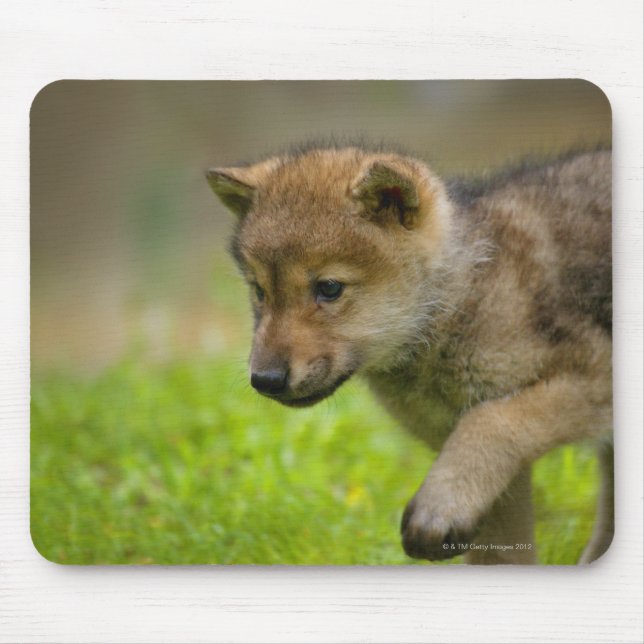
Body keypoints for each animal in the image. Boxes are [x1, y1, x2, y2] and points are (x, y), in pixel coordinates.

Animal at [206, 143, 613, 564]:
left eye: (330, 288)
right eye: (259, 291)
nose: (264, 380)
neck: (460, 300)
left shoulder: (593, 373)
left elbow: (492, 420)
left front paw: (438, 506)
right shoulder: (496, 473)